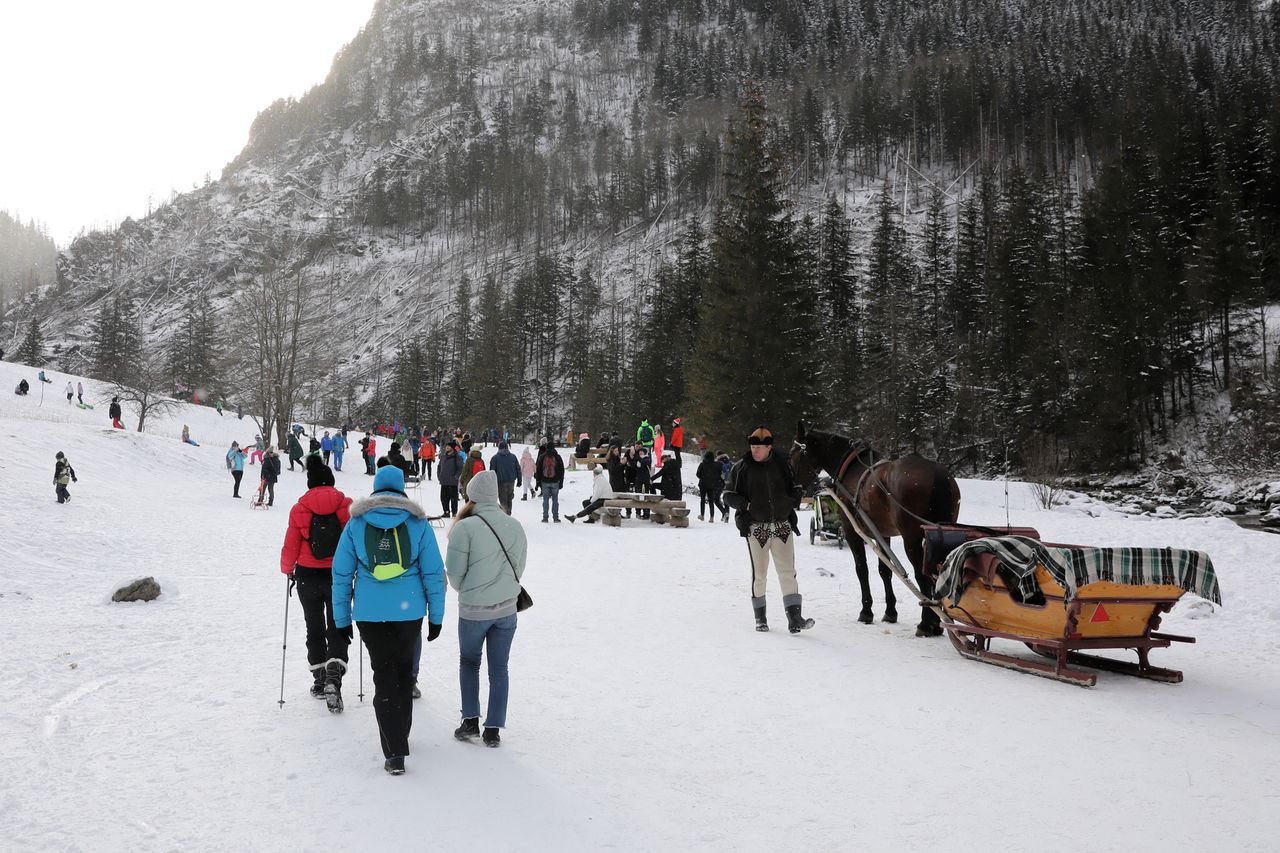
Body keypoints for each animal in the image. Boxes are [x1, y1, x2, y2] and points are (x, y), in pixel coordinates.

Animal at [788, 422, 962, 635]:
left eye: (793, 454)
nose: (794, 493)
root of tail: (938, 475)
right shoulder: (882, 534)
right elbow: (885, 571)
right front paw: (890, 612)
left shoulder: (852, 530)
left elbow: (861, 569)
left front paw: (866, 612)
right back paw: (937, 623)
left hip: (912, 538)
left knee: (922, 576)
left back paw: (927, 623)